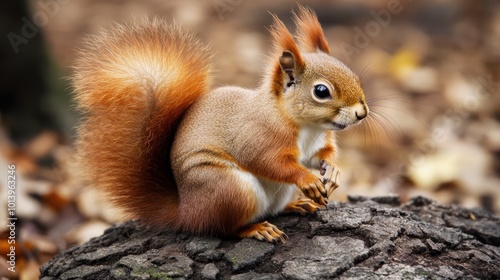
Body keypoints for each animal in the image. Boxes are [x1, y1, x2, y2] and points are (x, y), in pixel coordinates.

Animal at [74, 6, 370, 243]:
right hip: (229, 188)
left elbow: (320, 157)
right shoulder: (258, 137)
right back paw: (255, 229)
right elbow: (270, 163)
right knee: (223, 228)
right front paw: (307, 178)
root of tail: (187, 212)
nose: (362, 112)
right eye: (321, 91)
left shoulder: (317, 143)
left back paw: (296, 205)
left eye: (353, 74)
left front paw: (333, 171)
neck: (308, 127)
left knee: (271, 209)